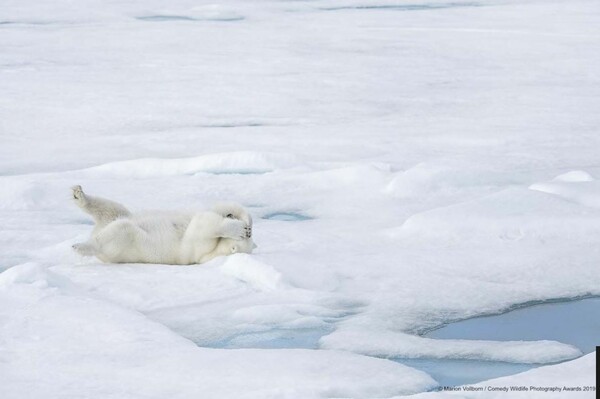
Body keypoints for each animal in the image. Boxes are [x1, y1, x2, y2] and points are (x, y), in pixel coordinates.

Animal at [71, 185, 256, 266]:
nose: (248, 232)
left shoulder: (199, 251)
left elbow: (203, 225)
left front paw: (238, 228)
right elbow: (216, 209)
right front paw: (243, 220)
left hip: (126, 244)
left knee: (119, 230)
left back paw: (81, 246)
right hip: (119, 215)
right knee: (112, 209)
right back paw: (79, 195)